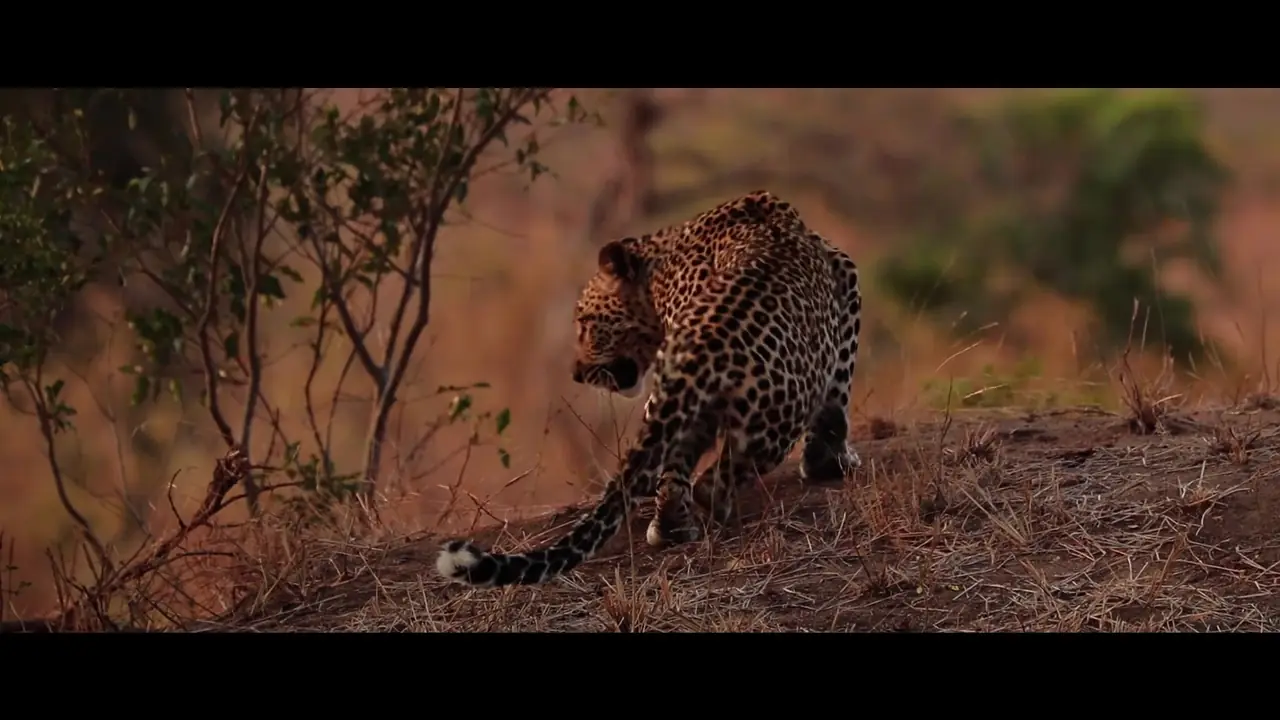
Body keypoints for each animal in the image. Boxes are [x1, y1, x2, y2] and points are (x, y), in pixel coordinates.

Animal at [436, 190, 862, 588]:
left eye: (586, 324)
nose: (576, 373)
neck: (662, 264)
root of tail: (707, 343)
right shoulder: (845, 276)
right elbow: (838, 394)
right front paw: (830, 462)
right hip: (777, 419)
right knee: (716, 480)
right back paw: (717, 511)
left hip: (677, 408)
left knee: (674, 473)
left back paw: (671, 527)